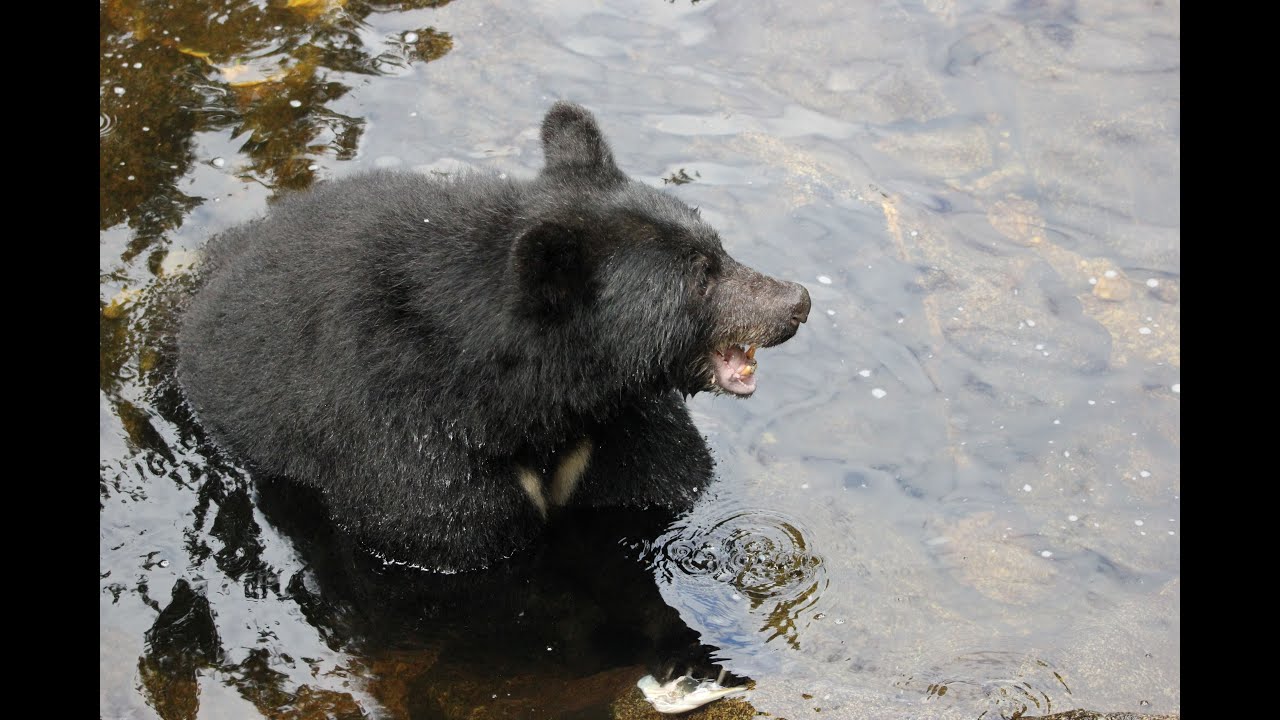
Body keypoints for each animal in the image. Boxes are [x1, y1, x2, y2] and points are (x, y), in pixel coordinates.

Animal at [177, 102, 811, 572]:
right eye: (700, 275)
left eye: (717, 246)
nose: (797, 301)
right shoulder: (408, 428)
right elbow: (437, 525)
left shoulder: (620, 425)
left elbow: (662, 481)